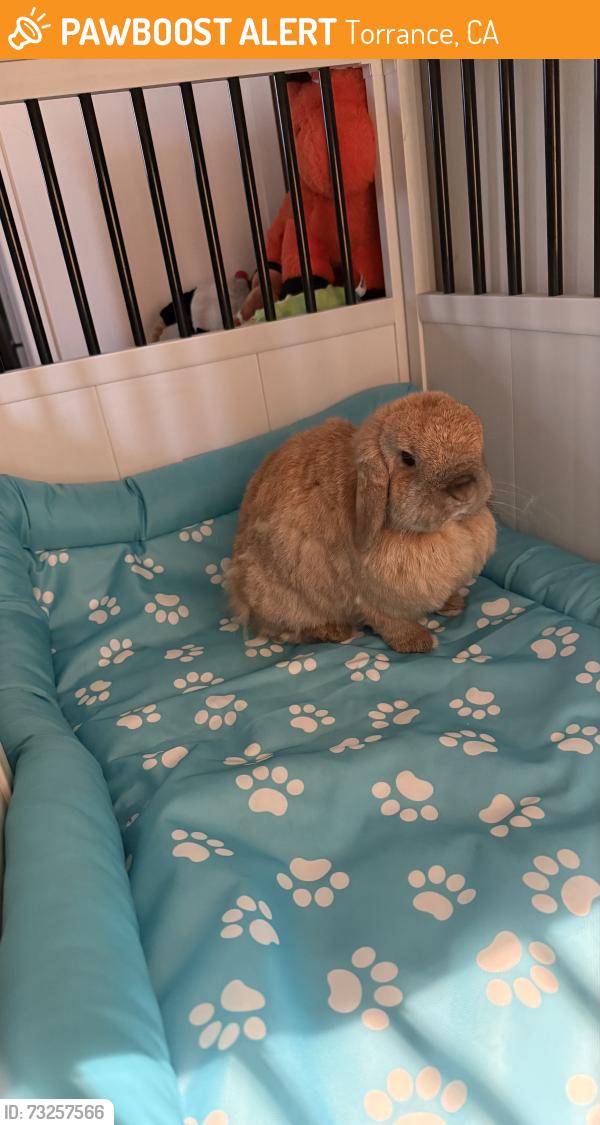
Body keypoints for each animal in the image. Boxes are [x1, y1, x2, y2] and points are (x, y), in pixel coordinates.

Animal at [227, 391, 496, 653]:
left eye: (478, 444)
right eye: (407, 458)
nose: (463, 488)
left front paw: (453, 603)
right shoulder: (369, 598)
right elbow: (388, 621)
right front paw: (416, 642)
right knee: (287, 628)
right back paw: (335, 631)